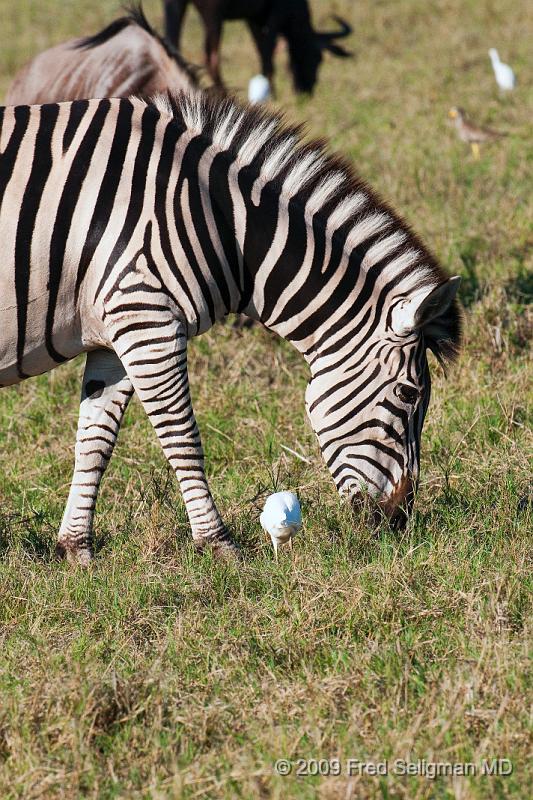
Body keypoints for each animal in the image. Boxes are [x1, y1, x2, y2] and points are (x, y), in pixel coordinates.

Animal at [0, 92, 458, 564]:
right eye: (408, 394)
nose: (398, 520)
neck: (221, 222)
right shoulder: (147, 317)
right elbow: (182, 438)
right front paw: (218, 544)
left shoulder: (115, 333)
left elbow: (94, 443)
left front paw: (76, 550)